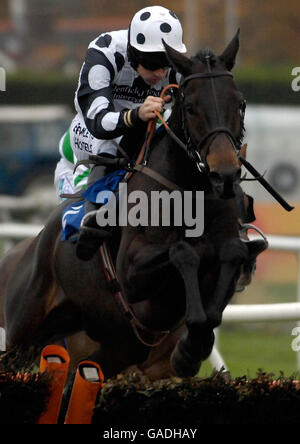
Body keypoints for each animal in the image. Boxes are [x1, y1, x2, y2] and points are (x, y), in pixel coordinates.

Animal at [0, 31, 268, 378]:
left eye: (241, 104)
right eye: (191, 106)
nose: (223, 174)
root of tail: (28, 246)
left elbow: (229, 259)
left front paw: (189, 350)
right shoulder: (131, 274)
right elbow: (183, 251)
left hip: (113, 347)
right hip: (22, 332)